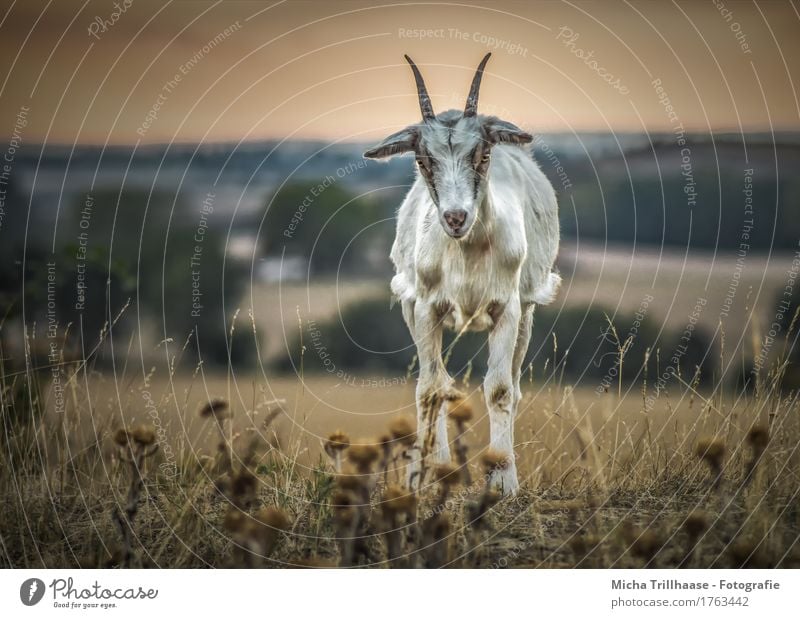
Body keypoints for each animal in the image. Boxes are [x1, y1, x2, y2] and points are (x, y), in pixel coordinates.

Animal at [364, 55, 560, 494]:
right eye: (423, 160)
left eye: (483, 155)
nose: (456, 218)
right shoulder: (426, 309)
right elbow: (432, 388)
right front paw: (428, 474)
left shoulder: (507, 309)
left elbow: (500, 389)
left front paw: (503, 480)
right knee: (433, 383)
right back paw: (426, 467)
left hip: (527, 313)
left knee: (514, 387)